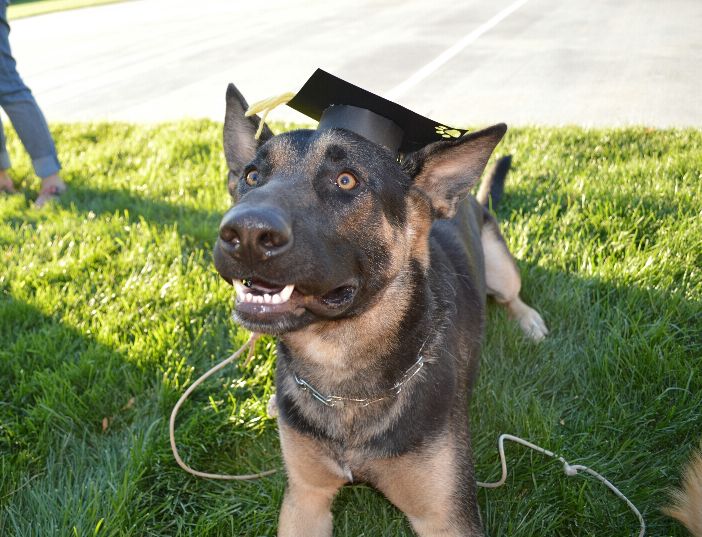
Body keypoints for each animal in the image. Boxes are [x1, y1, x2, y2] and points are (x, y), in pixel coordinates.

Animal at [214, 82, 552, 532]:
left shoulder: (447, 518)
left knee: (512, 295)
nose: (245, 234)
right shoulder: (305, 498)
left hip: (499, 264)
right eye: (252, 176)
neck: (340, 378)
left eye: (346, 180)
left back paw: (528, 321)